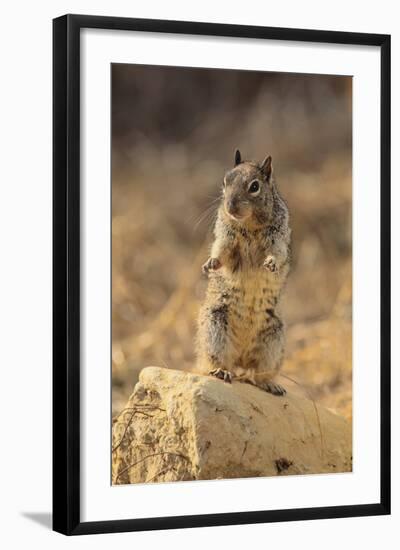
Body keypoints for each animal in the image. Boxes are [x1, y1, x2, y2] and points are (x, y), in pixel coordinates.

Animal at [196, 150, 290, 396]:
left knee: (256, 374)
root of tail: (240, 357)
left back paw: (270, 384)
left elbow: (277, 254)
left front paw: (271, 263)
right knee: (218, 362)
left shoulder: (278, 239)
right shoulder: (226, 238)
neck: (249, 225)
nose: (230, 207)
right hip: (215, 330)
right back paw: (222, 371)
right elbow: (222, 253)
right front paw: (210, 263)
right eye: (224, 181)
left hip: (273, 341)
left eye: (254, 186)